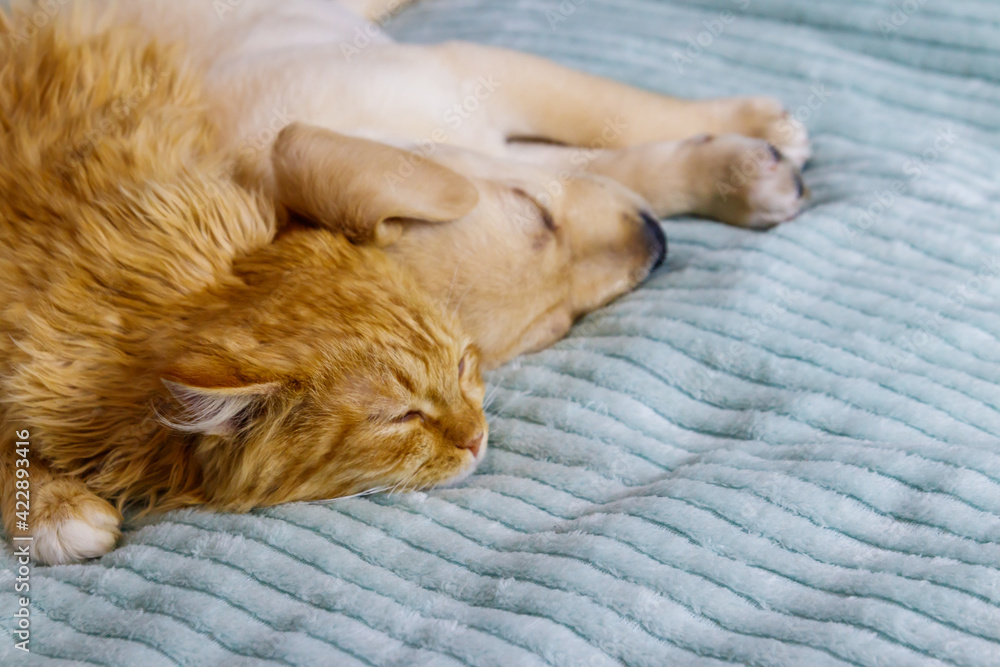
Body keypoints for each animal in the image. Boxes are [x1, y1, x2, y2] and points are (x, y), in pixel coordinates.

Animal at [97, 0, 808, 368]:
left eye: (535, 212)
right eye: (554, 328)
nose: (658, 244)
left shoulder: (480, 72)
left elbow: (625, 114)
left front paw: (749, 136)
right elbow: (613, 164)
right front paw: (742, 173)